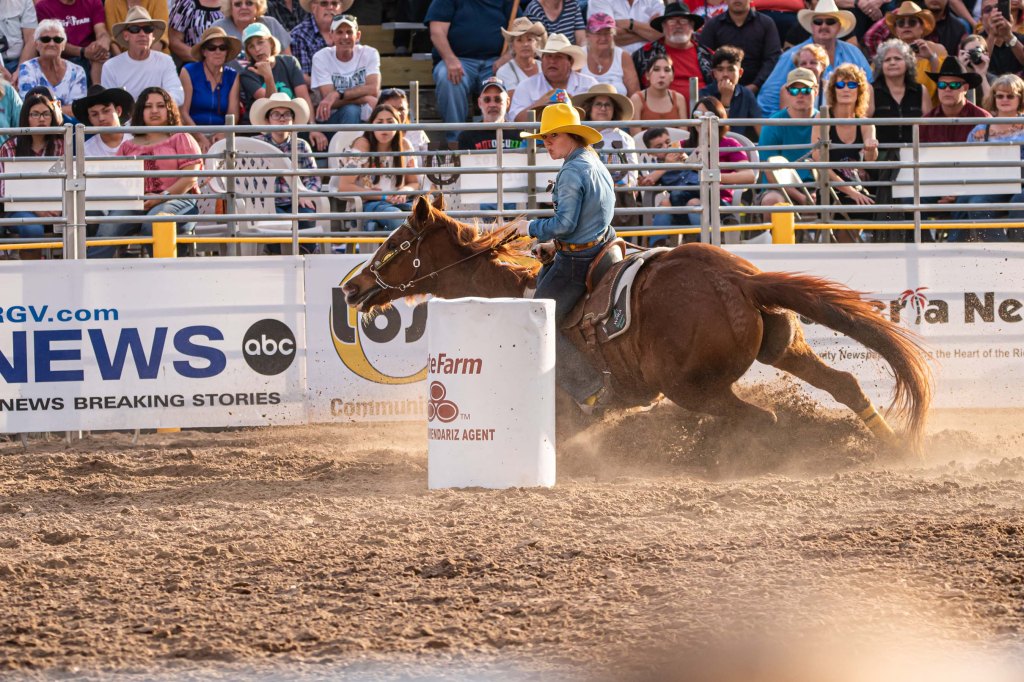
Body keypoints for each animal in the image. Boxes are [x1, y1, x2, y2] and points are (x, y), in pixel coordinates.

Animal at [342, 195, 933, 455]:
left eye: (397, 243)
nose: (351, 288)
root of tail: (739, 278)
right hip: (782, 349)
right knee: (845, 384)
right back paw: (895, 448)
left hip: (691, 385)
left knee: (761, 418)